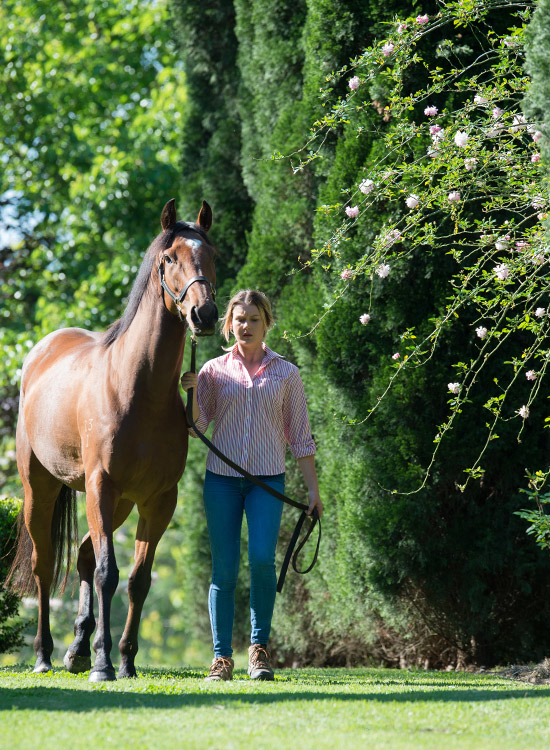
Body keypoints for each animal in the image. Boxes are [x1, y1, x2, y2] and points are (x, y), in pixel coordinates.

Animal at [7, 198, 218, 680]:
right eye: (169, 258)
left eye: (212, 256)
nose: (204, 315)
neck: (136, 390)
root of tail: (41, 351)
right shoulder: (102, 486)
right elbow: (108, 574)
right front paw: (105, 663)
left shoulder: (158, 499)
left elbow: (138, 579)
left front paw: (124, 659)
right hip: (41, 489)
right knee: (46, 566)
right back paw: (45, 655)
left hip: (117, 503)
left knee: (85, 554)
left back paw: (77, 649)